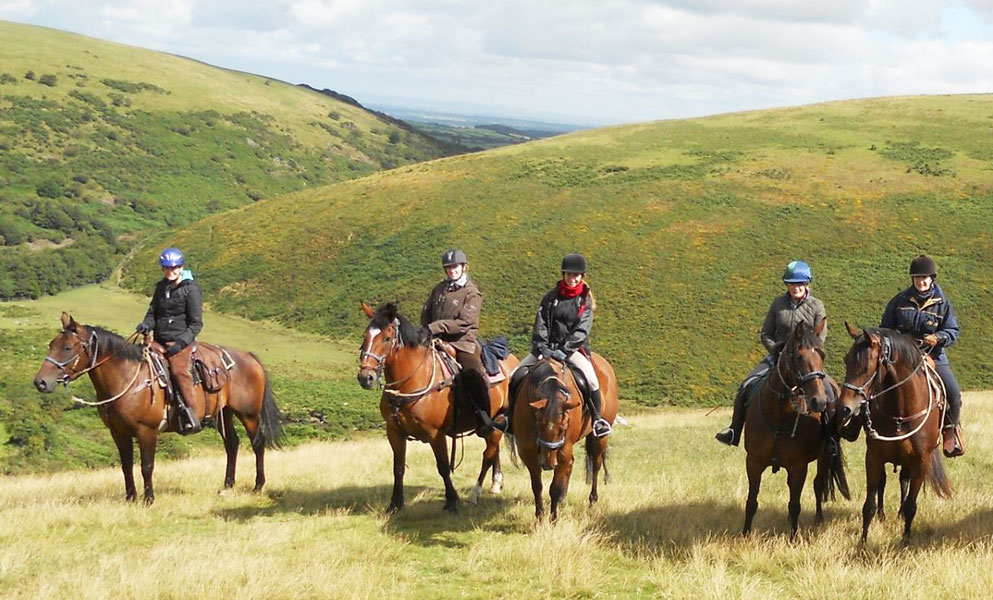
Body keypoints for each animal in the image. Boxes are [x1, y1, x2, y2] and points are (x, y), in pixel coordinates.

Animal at [33, 313, 284, 504]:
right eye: (51, 344)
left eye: (67, 347)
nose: (40, 382)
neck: (128, 379)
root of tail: (248, 357)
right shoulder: (118, 433)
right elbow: (126, 466)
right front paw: (130, 498)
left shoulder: (147, 431)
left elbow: (146, 465)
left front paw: (148, 499)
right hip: (225, 413)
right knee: (232, 444)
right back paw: (227, 486)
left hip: (249, 415)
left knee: (257, 444)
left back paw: (258, 486)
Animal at [357, 302, 519, 513]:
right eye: (365, 336)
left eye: (386, 338)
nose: (365, 377)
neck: (412, 381)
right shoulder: (394, 432)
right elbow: (398, 467)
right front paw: (395, 503)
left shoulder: (435, 434)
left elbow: (442, 466)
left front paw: (451, 500)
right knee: (494, 450)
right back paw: (496, 483)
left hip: (498, 419)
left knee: (488, 454)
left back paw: (475, 494)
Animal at [508, 354, 618, 522]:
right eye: (538, 422)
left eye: (564, 427)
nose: (548, 463)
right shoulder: (527, 450)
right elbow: (537, 485)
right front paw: (540, 518)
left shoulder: (564, 448)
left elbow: (555, 487)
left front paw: (553, 520)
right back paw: (563, 499)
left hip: (598, 438)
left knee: (596, 464)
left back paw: (592, 501)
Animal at [741, 320, 850, 539]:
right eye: (799, 356)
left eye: (822, 355)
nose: (819, 401)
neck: (779, 416)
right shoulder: (753, 462)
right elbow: (751, 502)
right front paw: (745, 535)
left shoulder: (799, 466)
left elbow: (795, 504)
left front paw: (793, 537)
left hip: (826, 455)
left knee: (818, 485)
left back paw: (818, 518)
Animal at [835, 323, 952, 545]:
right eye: (846, 360)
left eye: (866, 366)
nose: (844, 409)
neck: (901, 411)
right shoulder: (873, 457)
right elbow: (869, 505)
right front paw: (863, 543)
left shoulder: (921, 461)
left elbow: (912, 506)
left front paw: (905, 541)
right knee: (885, 483)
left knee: (904, 483)